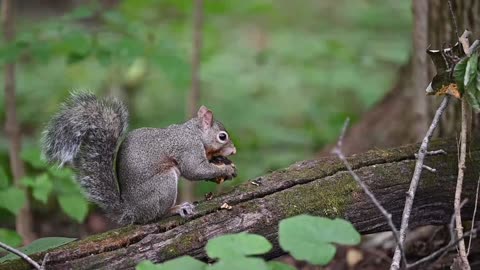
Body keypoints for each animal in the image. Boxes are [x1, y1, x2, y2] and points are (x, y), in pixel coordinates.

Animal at [42, 92, 237, 225]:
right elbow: (194, 170)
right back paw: (176, 208)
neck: (195, 132)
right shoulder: (188, 148)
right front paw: (226, 169)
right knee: (157, 215)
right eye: (222, 137)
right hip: (164, 184)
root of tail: (132, 212)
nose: (234, 151)